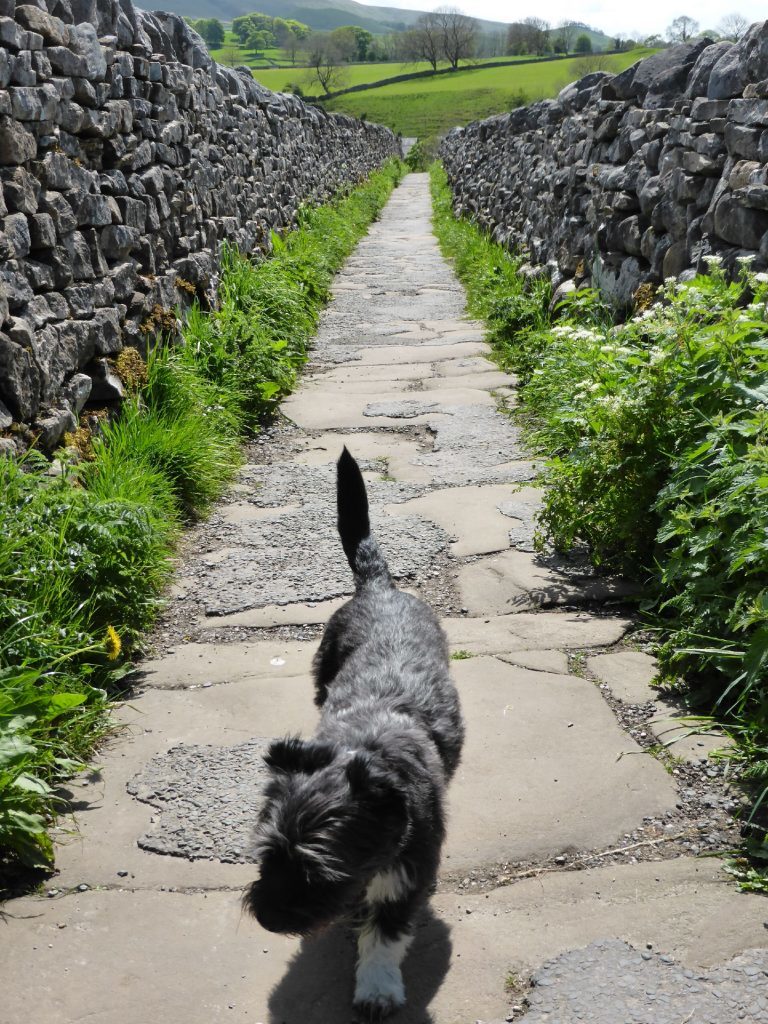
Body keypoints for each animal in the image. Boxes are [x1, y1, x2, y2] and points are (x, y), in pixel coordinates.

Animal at [244, 446, 462, 1015]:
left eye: (318, 872)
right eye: (268, 855)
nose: (267, 919)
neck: (361, 750)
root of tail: (379, 586)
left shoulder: (405, 874)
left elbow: (384, 933)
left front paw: (377, 987)